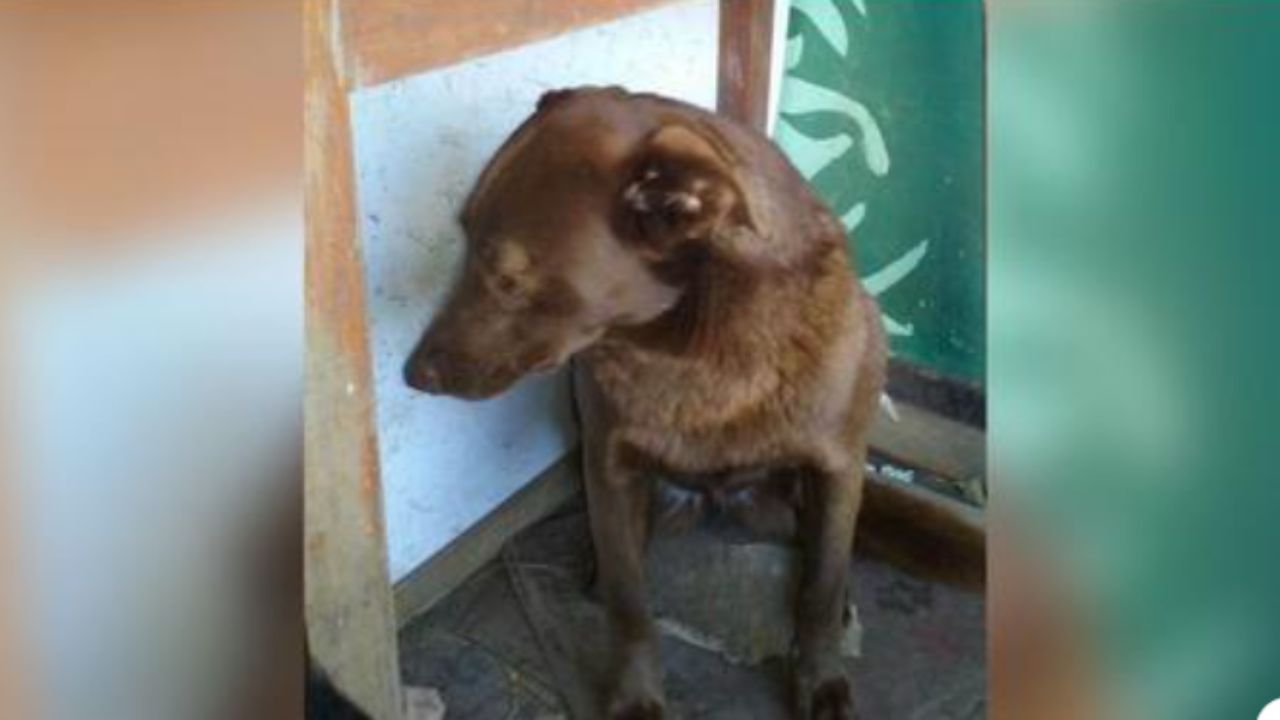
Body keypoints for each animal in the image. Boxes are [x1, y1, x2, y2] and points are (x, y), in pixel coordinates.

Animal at [404, 87, 885, 712]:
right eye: (461, 241)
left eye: (508, 280)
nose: (412, 375)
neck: (695, 348)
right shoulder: (610, 469)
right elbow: (629, 603)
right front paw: (635, 696)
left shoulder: (838, 468)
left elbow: (820, 591)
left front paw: (821, 682)